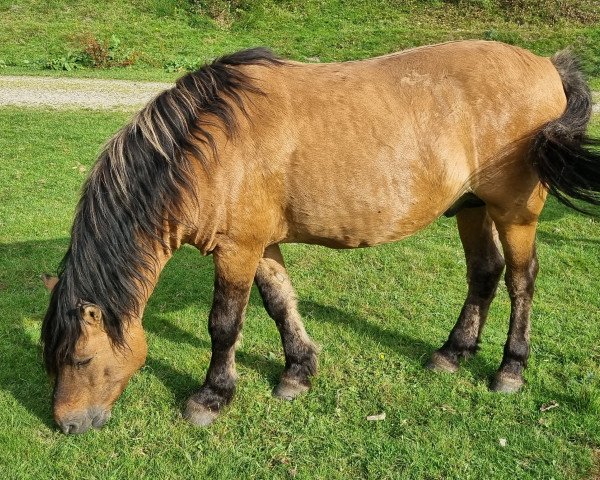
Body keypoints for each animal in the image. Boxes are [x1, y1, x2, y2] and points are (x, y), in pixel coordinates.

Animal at [39, 39, 596, 434]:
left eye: (81, 359)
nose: (67, 425)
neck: (209, 148)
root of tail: (548, 66)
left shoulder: (236, 251)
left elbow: (224, 324)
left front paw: (212, 397)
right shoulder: (259, 245)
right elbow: (280, 303)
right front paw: (298, 371)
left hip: (515, 213)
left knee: (521, 281)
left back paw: (511, 370)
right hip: (472, 208)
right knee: (484, 273)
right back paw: (452, 353)